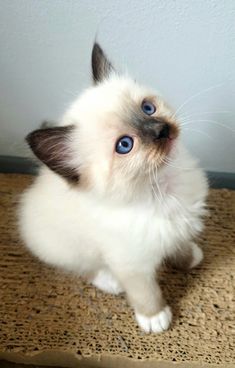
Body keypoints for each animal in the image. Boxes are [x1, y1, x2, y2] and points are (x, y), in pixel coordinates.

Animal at [19, 43, 208, 334]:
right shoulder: (131, 263)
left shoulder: (176, 228)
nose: (161, 130)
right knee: (84, 268)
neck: (163, 188)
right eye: (125, 145)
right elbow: (146, 293)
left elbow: (178, 245)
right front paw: (155, 318)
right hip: (69, 248)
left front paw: (188, 258)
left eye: (148, 108)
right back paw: (111, 282)